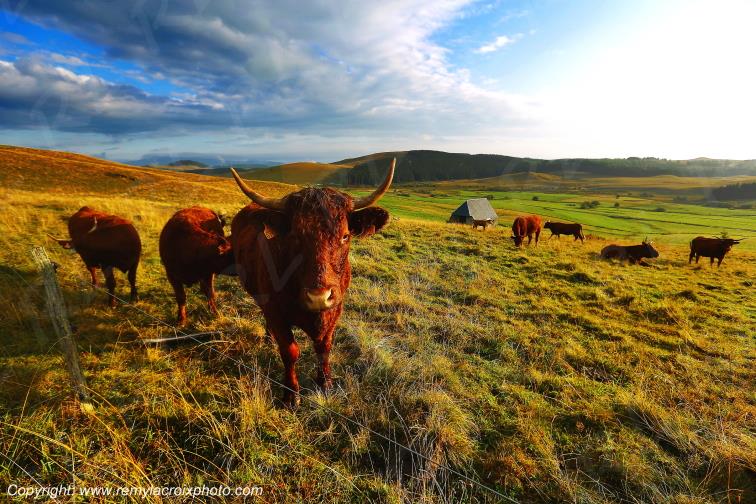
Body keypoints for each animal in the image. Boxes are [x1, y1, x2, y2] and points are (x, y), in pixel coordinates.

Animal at [230, 160, 395, 407]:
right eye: (294, 236)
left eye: (345, 236)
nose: (319, 297)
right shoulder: (276, 312)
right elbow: (290, 351)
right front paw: (291, 394)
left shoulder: (335, 309)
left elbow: (324, 347)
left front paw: (325, 383)